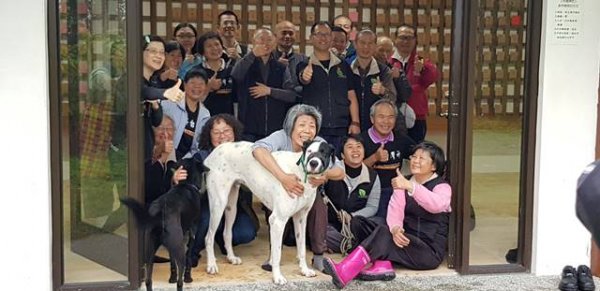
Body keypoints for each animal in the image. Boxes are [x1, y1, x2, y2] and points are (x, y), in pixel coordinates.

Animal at [122, 157, 206, 291]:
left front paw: (172, 277)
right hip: (178, 247)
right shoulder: (192, 232)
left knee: (148, 280)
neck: (185, 184)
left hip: (149, 250)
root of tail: (159, 213)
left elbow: (172, 260)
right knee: (179, 281)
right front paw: (188, 278)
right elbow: (188, 256)